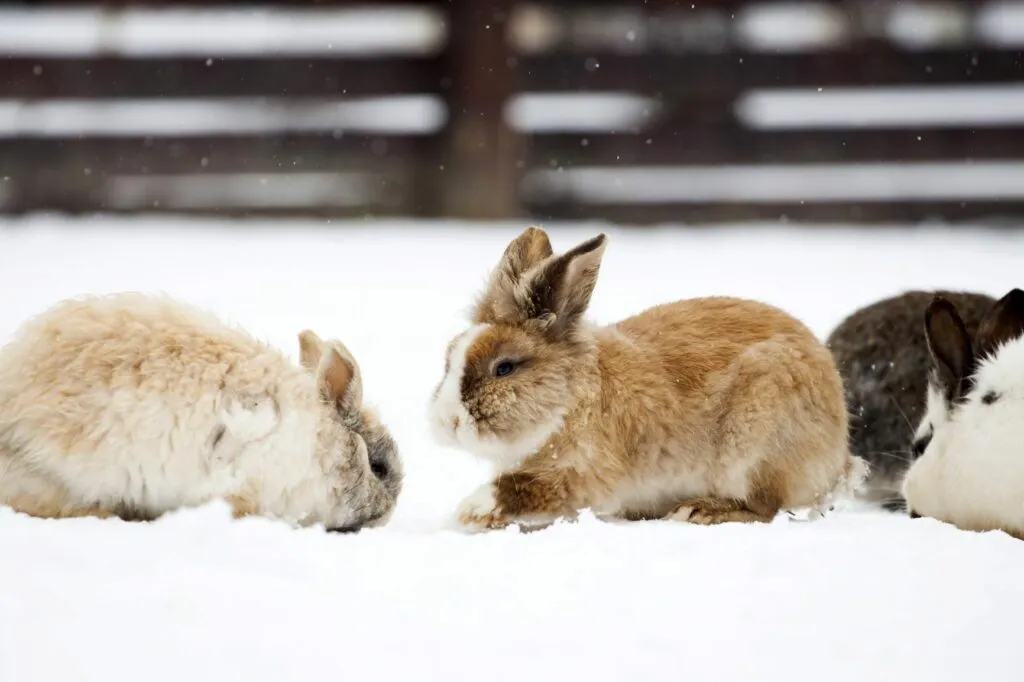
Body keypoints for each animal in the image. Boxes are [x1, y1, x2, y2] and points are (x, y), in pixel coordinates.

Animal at [423, 225, 864, 528]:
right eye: (449, 358)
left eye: (505, 368)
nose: (447, 422)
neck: (568, 402)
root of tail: (838, 457)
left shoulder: (582, 477)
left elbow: (521, 489)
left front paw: (470, 511)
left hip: (755, 444)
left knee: (764, 507)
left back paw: (697, 511)